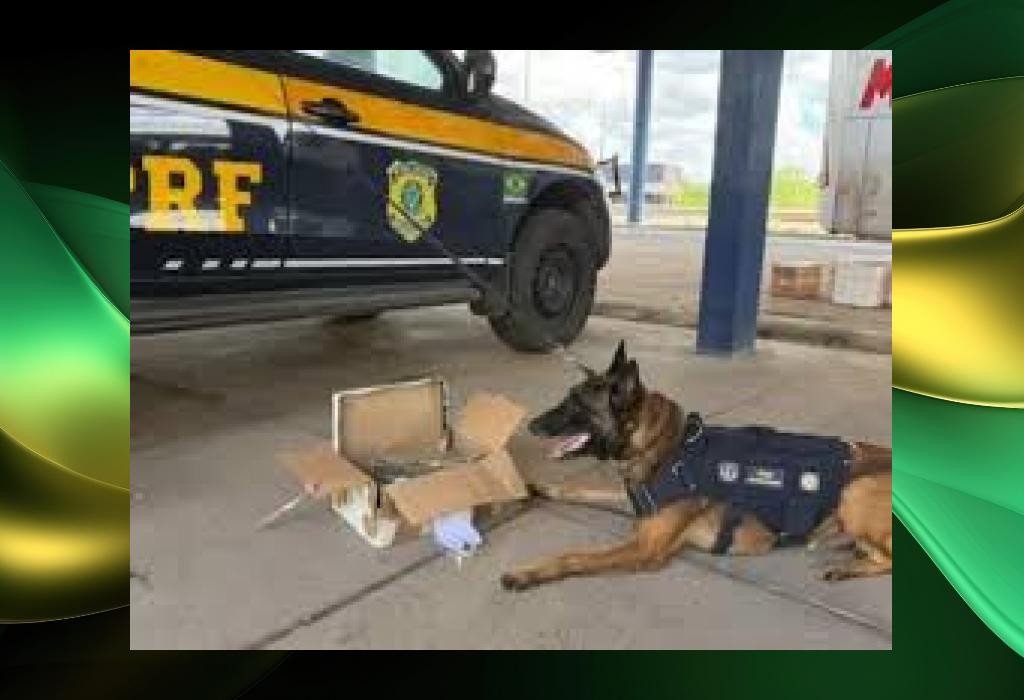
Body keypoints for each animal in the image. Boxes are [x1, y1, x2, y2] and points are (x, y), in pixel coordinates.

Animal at [500, 340, 892, 591]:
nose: (531, 424)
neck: (663, 446)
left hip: (855, 490)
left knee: (888, 558)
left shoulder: (646, 549)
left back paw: (847, 566)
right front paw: (537, 487)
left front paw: (527, 573)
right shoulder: (637, 502)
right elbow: (580, 489)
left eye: (577, 404)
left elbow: (573, 556)